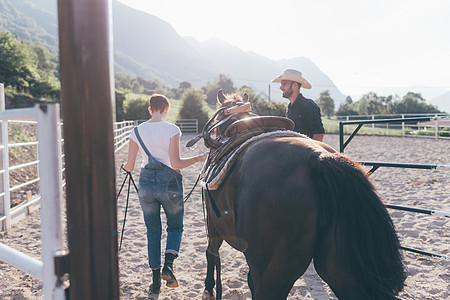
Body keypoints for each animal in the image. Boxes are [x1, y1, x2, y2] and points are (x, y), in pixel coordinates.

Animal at [193, 89, 408, 300]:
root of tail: (317, 157)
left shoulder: (213, 223)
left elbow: (211, 253)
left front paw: (208, 289)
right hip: (341, 271)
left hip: (273, 275)